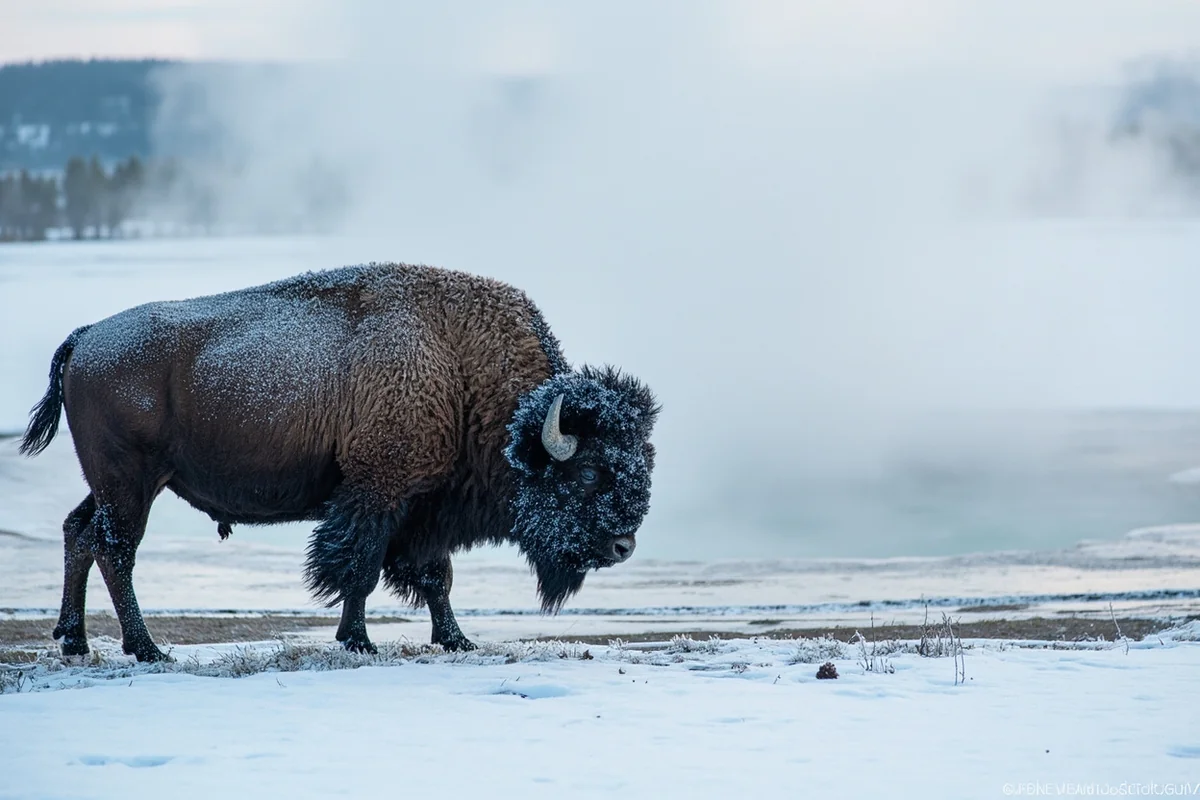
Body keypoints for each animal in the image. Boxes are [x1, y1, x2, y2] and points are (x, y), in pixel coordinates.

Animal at [21, 263, 659, 661]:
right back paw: (148, 650)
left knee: (79, 532)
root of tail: (87, 337)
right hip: (130, 484)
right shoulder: (378, 491)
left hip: (117, 485)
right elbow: (360, 568)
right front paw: (359, 640)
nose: (623, 545)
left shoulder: (423, 505)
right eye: (587, 471)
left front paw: (455, 640)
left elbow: (434, 575)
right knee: (115, 551)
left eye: (641, 462)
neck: (459, 369)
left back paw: (74, 640)